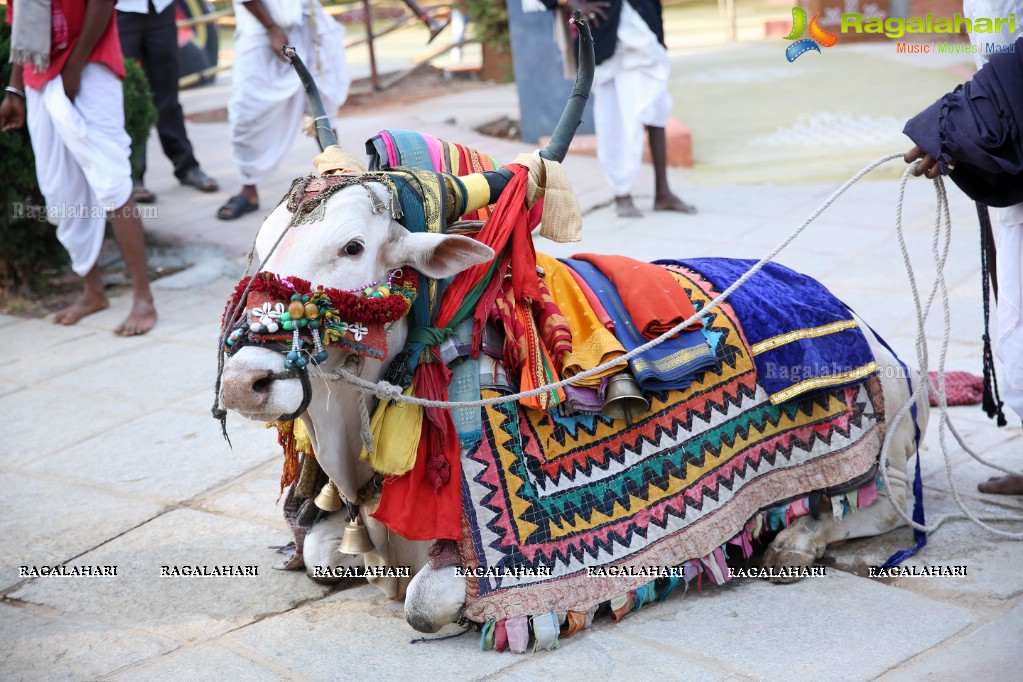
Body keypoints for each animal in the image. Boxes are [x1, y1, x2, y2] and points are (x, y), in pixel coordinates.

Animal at [213, 20, 928, 650]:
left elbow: (425, 604)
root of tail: (867, 329)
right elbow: (316, 551)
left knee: (887, 510)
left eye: (353, 246)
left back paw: (795, 540)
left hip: (889, 455)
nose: (246, 381)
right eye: (258, 245)